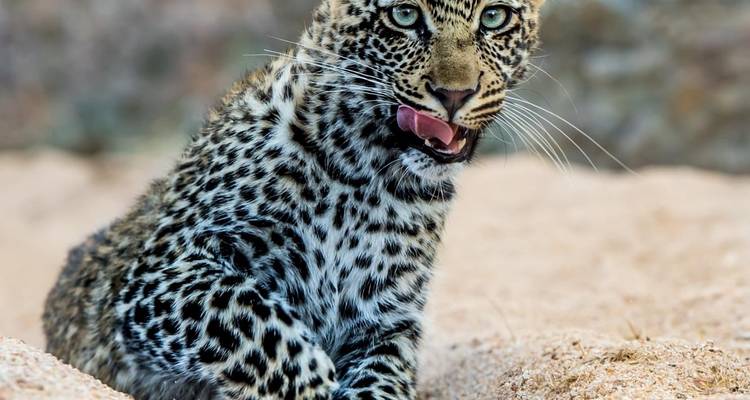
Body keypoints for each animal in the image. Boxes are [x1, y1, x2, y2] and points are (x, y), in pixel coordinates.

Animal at [43, 0, 546, 399]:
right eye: (404, 15)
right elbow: (259, 324)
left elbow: (385, 378)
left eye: (494, 16)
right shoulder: (162, 273)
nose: (454, 95)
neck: (364, 174)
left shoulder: (387, 319)